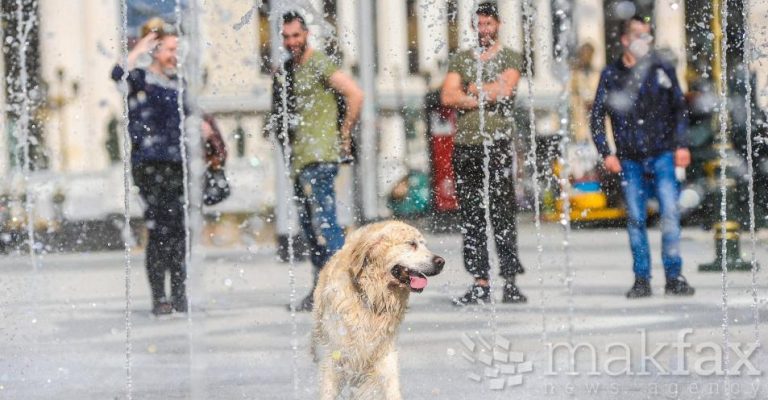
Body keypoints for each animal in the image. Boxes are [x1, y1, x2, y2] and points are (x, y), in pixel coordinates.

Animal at [310, 220, 444, 400]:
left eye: (425, 245)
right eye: (412, 244)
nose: (441, 261)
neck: (370, 295)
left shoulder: (385, 354)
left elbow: (392, 389)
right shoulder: (334, 356)